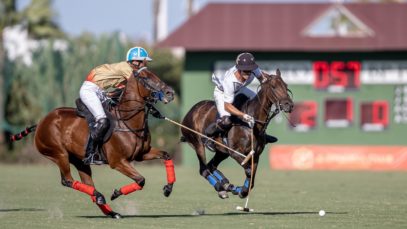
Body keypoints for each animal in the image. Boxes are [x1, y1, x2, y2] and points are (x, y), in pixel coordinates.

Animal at [10, 66, 175, 218]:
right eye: (146, 78)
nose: (170, 93)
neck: (126, 121)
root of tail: (40, 123)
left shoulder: (141, 154)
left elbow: (166, 155)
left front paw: (168, 189)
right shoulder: (117, 161)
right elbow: (141, 180)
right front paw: (115, 193)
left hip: (79, 161)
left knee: (87, 183)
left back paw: (110, 210)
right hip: (58, 154)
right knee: (67, 180)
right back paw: (100, 197)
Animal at [182, 69, 294, 199]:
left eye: (286, 86)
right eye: (273, 86)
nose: (289, 105)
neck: (252, 126)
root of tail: (190, 112)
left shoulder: (256, 155)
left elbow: (252, 179)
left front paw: (240, 190)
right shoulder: (235, 152)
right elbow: (249, 172)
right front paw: (240, 190)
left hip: (222, 152)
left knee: (211, 166)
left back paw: (226, 186)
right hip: (198, 144)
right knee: (203, 169)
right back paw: (221, 187)